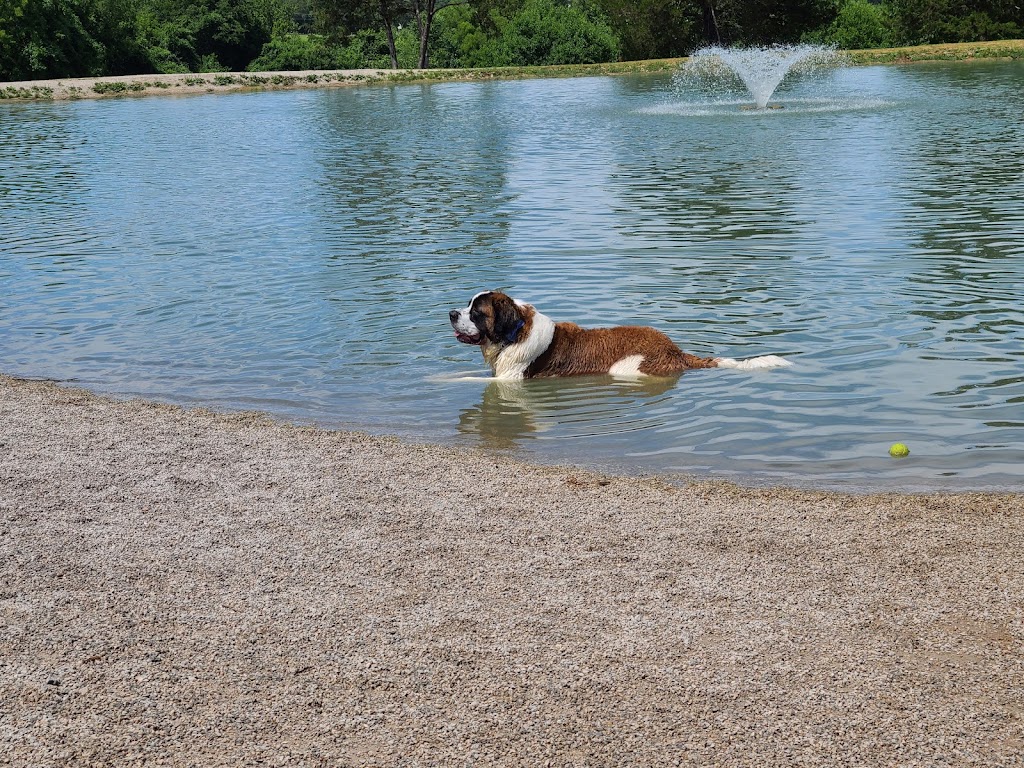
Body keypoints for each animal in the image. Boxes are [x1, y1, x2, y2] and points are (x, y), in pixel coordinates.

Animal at [448, 290, 790, 380]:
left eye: (476, 312)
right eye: (467, 305)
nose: (451, 313)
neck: (515, 332)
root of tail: (674, 348)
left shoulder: (510, 380)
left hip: (626, 366)